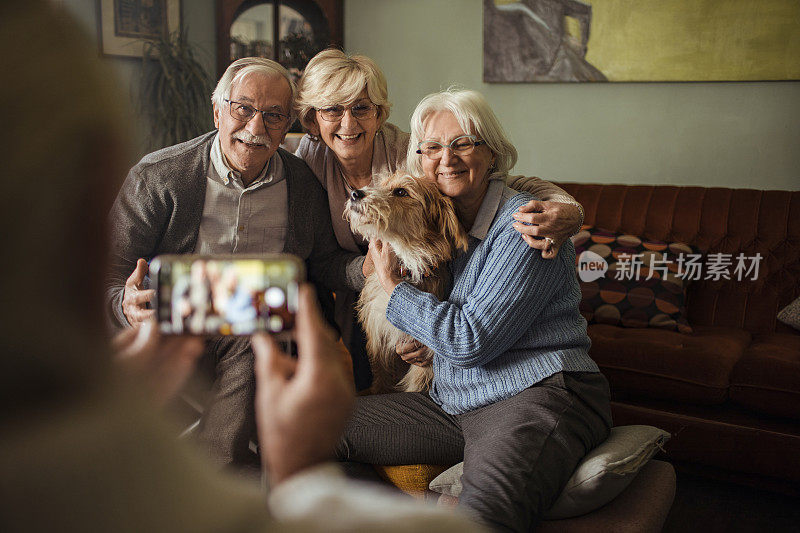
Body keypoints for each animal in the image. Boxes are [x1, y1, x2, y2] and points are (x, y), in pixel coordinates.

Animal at [346, 172, 468, 392]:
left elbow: (416, 386)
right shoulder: (378, 340)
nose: (354, 193)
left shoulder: (423, 358)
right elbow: (381, 379)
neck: (406, 267)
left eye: (401, 192)